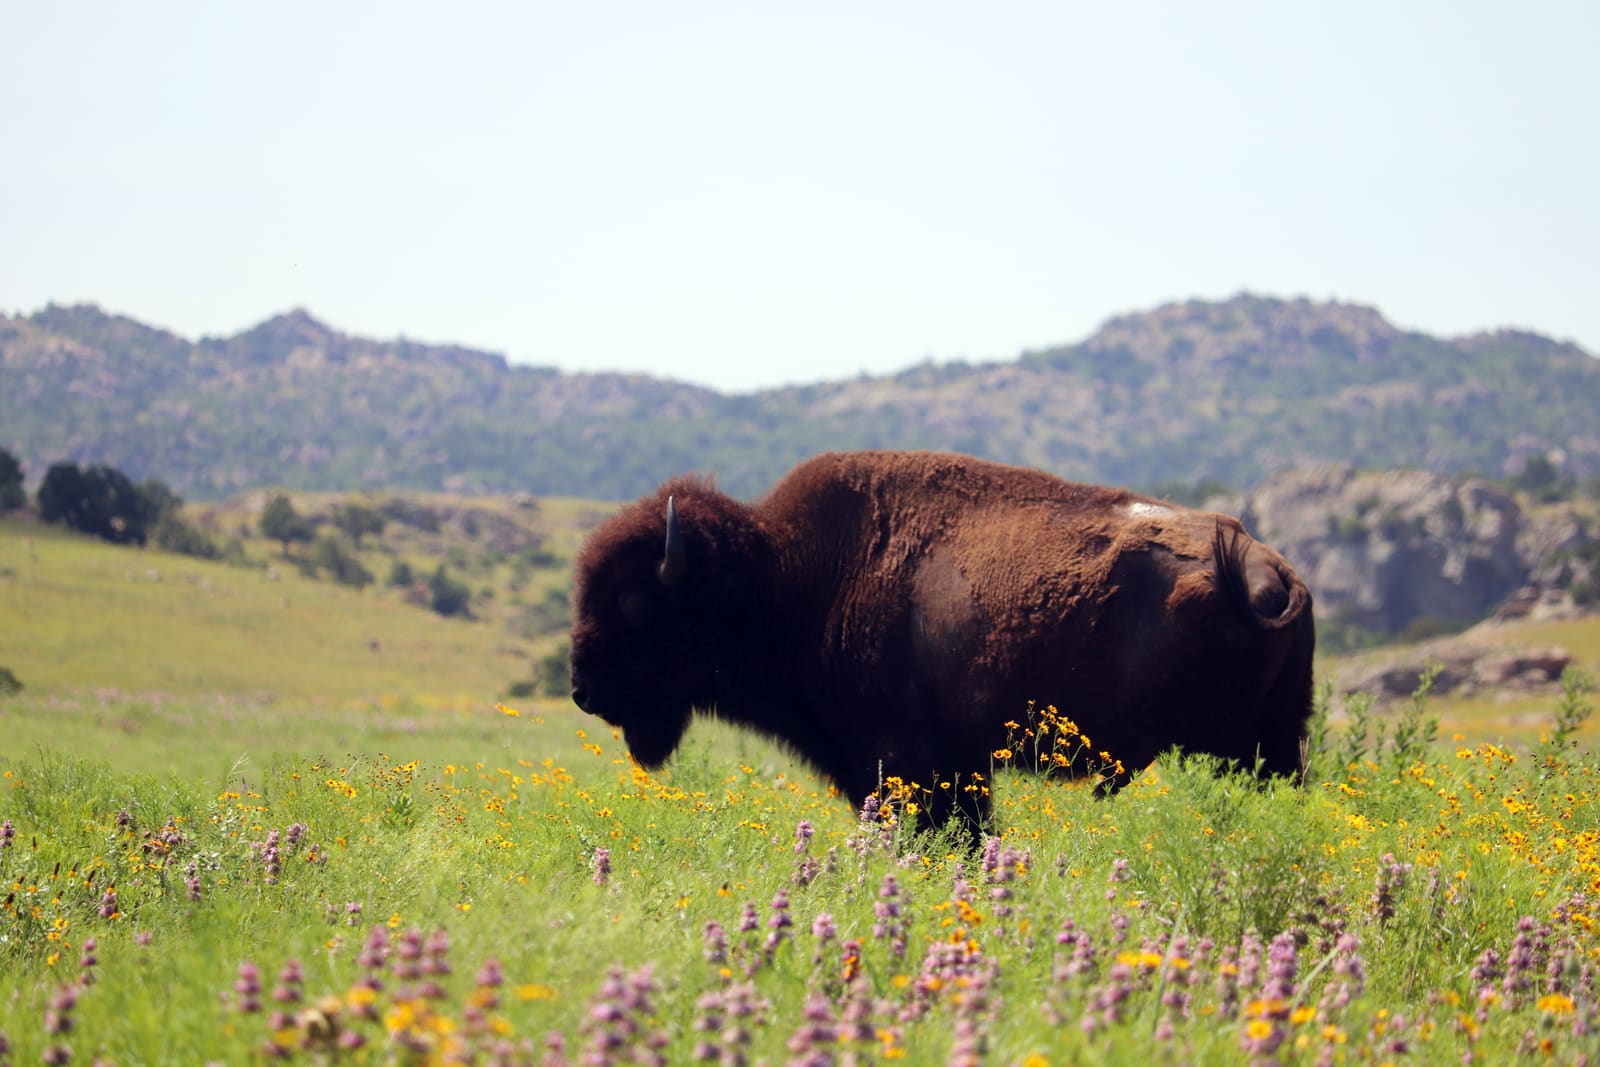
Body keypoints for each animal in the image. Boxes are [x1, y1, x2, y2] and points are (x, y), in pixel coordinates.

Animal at [569, 450, 1314, 830]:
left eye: (633, 601)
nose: (582, 688)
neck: (790, 575)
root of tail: (1274, 572)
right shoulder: (960, 765)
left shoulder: (904, 760)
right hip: (1276, 741)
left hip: (1236, 746)